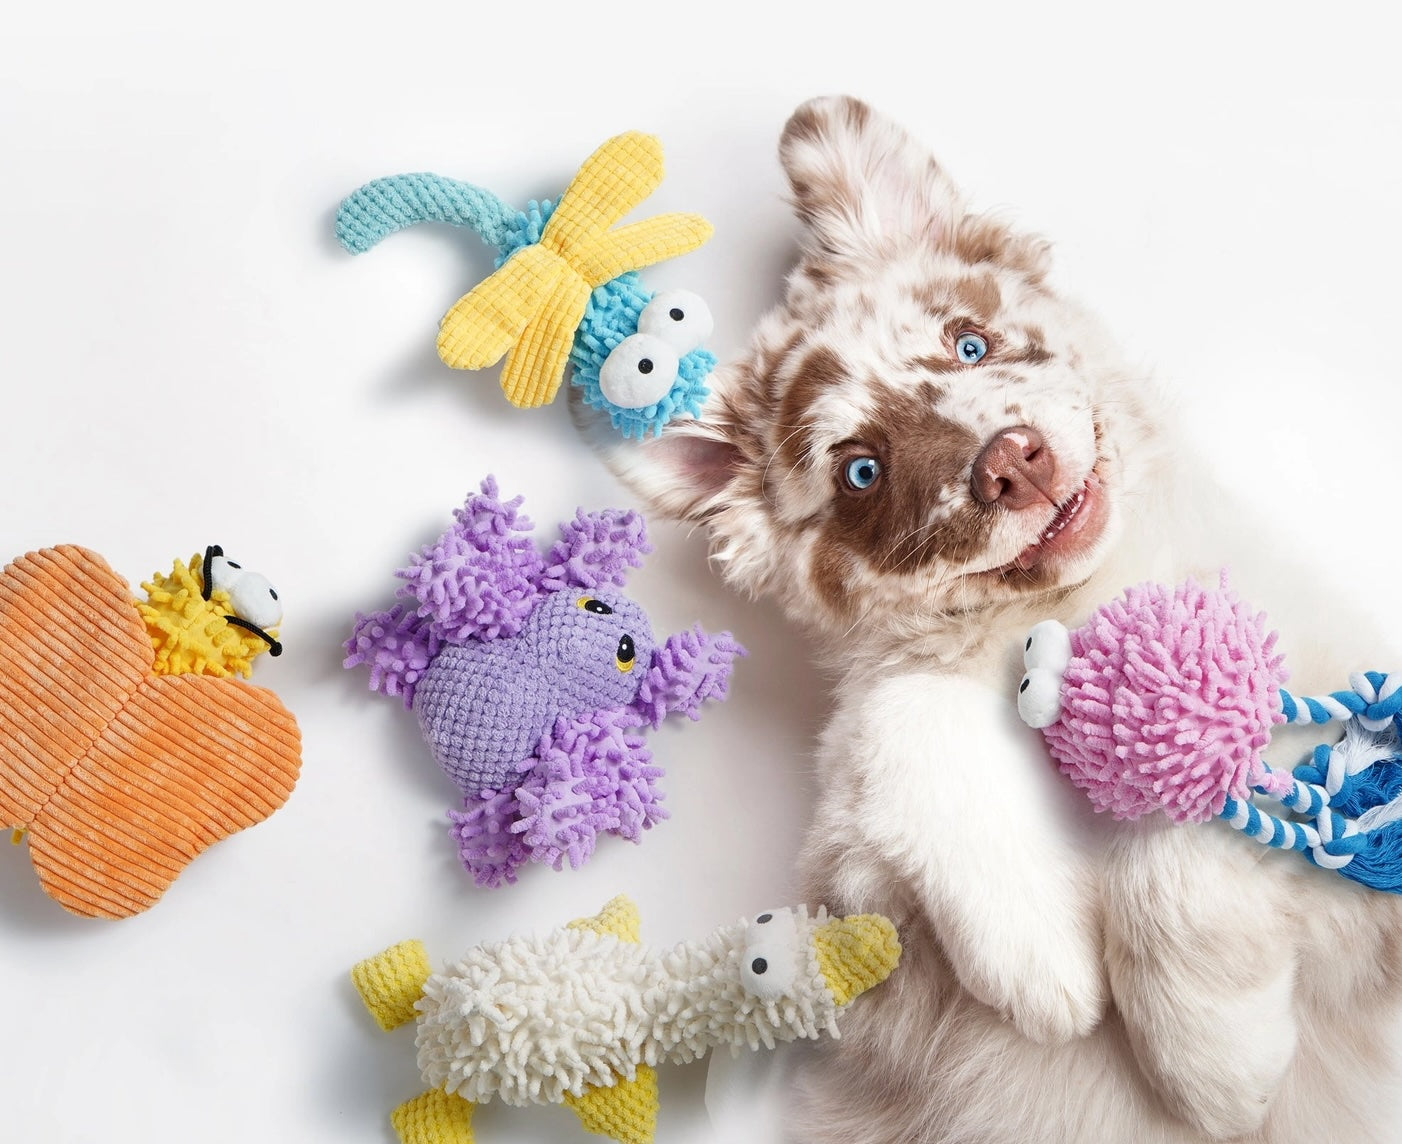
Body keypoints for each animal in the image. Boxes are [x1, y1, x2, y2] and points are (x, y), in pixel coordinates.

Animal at [580, 95, 1402, 1143]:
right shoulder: (852, 886)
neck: (1063, 614)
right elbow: (901, 713)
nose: (1011, 460)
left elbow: (1189, 812)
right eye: (862, 471)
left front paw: (1214, 1061)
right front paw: (1041, 958)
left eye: (969, 342)